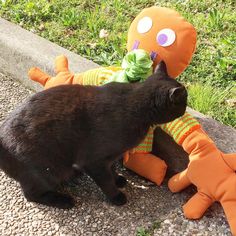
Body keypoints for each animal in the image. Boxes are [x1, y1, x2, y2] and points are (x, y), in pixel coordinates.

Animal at [0, 60, 188, 208]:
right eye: (184, 100)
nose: (186, 107)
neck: (136, 104)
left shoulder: (111, 157)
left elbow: (112, 169)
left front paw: (118, 179)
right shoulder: (94, 161)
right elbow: (105, 181)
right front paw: (116, 196)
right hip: (47, 170)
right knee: (31, 194)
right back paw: (64, 200)